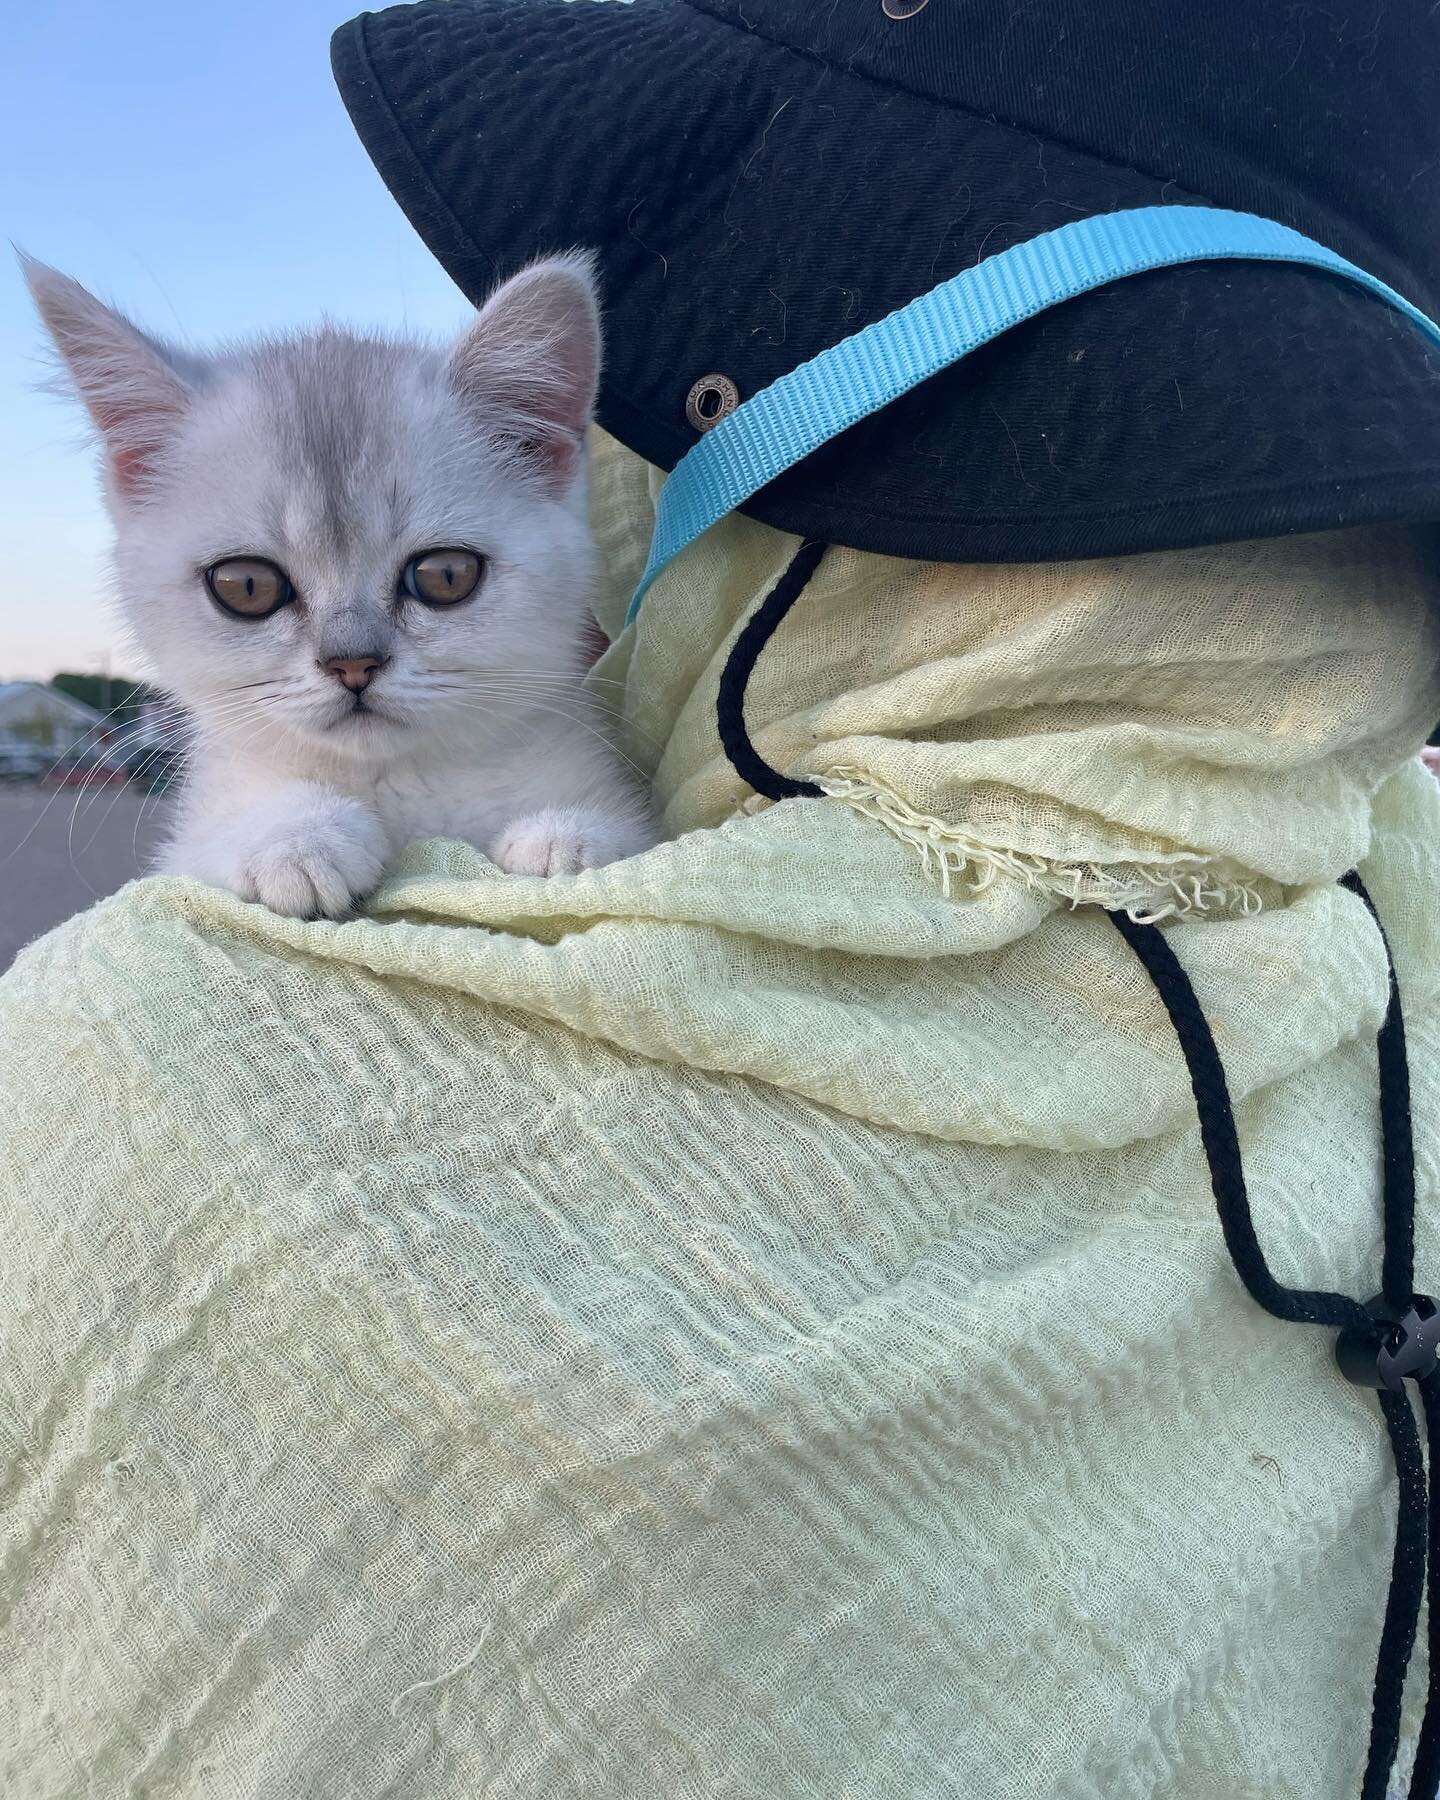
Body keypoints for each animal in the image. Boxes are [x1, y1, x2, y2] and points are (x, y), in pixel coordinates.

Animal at [25, 252, 655, 914]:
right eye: (246, 586)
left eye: (446, 575)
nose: (353, 664)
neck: (392, 782)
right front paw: (295, 837)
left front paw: (568, 836)